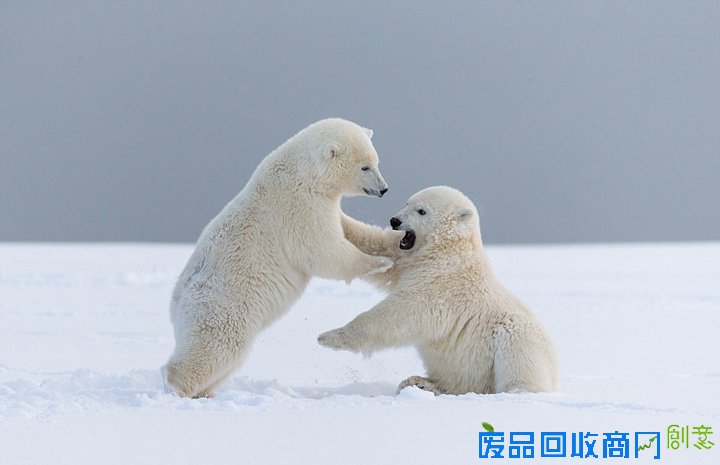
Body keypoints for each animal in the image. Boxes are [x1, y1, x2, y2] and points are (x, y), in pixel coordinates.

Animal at [163, 118, 400, 398]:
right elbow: (321, 249)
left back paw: (205, 392)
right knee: (217, 348)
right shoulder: (297, 205)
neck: (303, 173)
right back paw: (175, 386)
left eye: (376, 161)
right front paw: (380, 263)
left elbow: (349, 229)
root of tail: (177, 306)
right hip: (223, 309)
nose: (384, 189)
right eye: (365, 166)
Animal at [318, 186, 559, 395]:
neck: (447, 249)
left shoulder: (441, 282)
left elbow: (401, 312)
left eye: (421, 210)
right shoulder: (408, 259)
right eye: (407, 202)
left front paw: (329, 337)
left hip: (516, 341)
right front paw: (338, 214)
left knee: (517, 352)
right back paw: (419, 382)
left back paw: (516, 391)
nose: (395, 221)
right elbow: (378, 244)